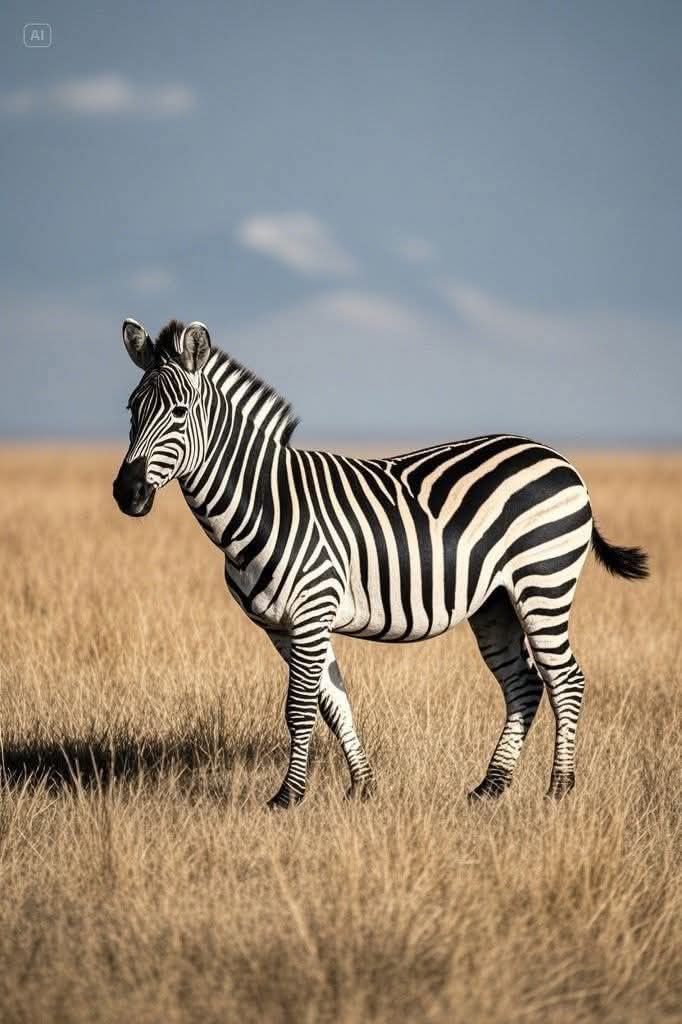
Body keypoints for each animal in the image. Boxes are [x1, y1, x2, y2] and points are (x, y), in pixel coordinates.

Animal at [113, 317, 648, 808]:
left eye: (180, 412)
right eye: (131, 409)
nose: (127, 493)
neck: (266, 503)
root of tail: (559, 458)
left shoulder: (311, 612)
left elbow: (300, 710)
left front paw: (288, 798)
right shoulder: (284, 626)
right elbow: (335, 705)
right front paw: (362, 788)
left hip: (544, 581)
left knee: (566, 680)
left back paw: (558, 790)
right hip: (495, 602)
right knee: (524, 684)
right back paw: (490, 788)